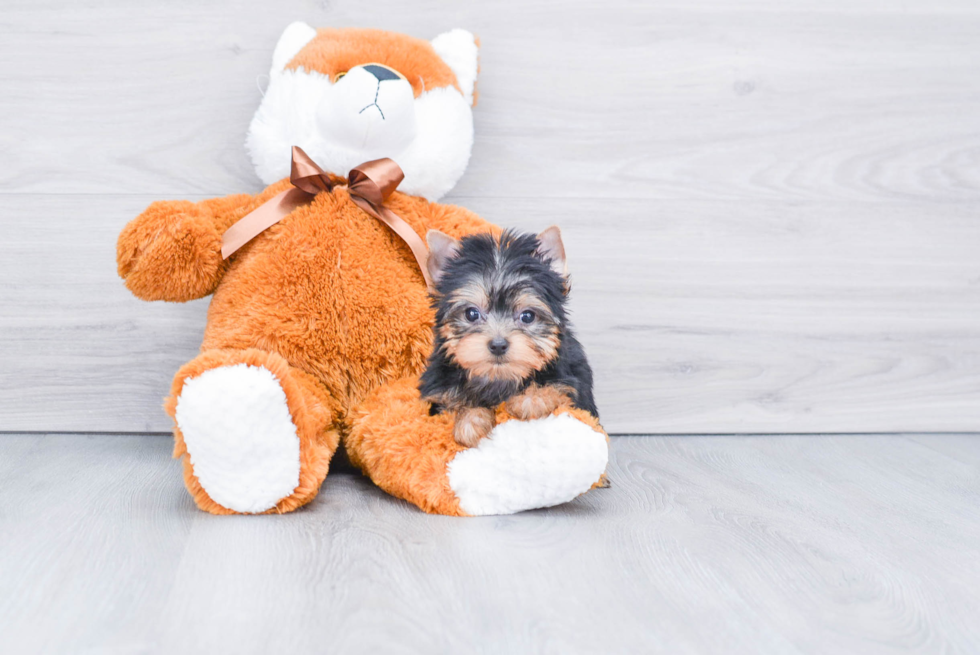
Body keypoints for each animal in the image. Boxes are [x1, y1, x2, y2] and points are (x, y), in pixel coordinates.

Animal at [418, 228, 592, 448]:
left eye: (527, 316)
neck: (498, 378)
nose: (498, 345)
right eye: (471, 314)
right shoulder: (439, 393)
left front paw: (531, 399)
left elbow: (558, 388)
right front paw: (470, 420)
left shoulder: (572, 383)